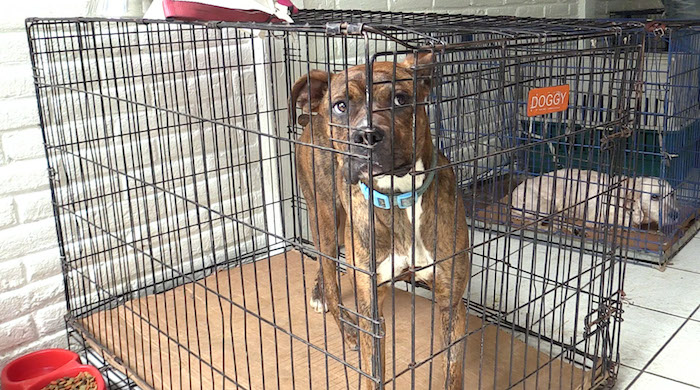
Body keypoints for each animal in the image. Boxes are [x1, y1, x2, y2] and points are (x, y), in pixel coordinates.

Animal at [290, 52, 470, 390]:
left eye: (400, 99)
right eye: (341, 105)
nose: (367, 135)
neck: (400, 198)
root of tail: (312, 116)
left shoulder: (451, 304)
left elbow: (453, 369)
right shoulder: (371, 311)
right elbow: (373, 368)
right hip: (324, 217)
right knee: (332, 282)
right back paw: (344, 326)